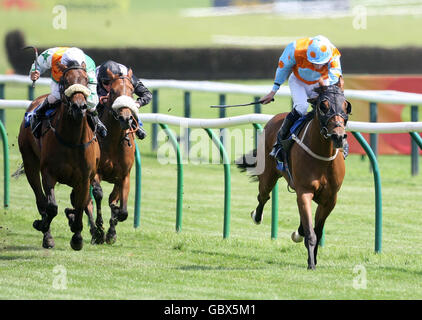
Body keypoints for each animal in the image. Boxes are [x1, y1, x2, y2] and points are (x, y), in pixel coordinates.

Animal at [18, 60, 101, 250]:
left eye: (86, 80)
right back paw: (46, 234)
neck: (72, 139)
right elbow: (51, 207)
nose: (79, 106)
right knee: (40, 200)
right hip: (30, 163)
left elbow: (80, 205)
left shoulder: (84, 178)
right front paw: (42, 225)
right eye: (65, 81)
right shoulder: (48, 173)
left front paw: (77, 237)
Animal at [90, 68, 138, 245]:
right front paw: (100, 230)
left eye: (131, 90)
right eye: (113, 91)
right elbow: (98, 194)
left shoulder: (124, 177)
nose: (126, 118)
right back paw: (94, 231)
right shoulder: (95, 173)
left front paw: (111, 232)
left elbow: (121, 209)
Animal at [239, 80, 352, 270]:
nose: (338, 136)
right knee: (263, 196)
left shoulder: (330, 198)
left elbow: (317, 229)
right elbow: (311, 233)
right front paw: (311, 263)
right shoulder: (304, 191)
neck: (322, 155)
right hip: (268, 176)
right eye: (323, 106)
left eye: (346, 106)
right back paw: (257, 216)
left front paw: (312, 256)